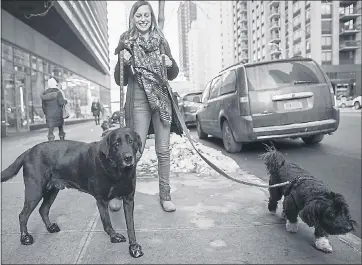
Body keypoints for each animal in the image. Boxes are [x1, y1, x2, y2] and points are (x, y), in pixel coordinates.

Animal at [2, 127, 145, 256]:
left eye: (131, 141)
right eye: (116, 144)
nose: (128, 158)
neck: (118, 172)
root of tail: (29, 151)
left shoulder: (129, 200)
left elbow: (130, 226)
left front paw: (134, 247)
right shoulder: (101, 201)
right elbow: (107, 223)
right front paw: (114, 237)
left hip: (52, 191)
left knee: (43, 210)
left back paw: (50, 227)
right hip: (35, 191)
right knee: (23, 215)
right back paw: (25, 238)